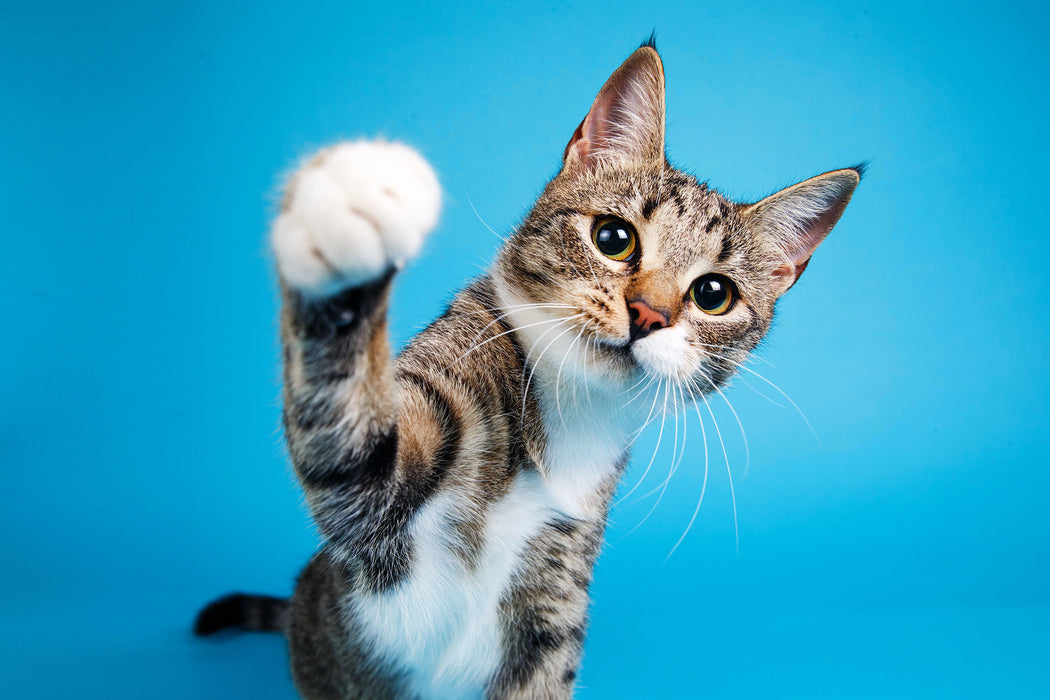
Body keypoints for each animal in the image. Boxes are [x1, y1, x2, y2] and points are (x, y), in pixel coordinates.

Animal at [195, 39, 860, 700]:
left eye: (713, 294)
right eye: (614, 237)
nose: (649, 314)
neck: (569, 413)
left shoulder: (553, 599)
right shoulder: (386, 492)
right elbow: (356, 448)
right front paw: (345, 226)